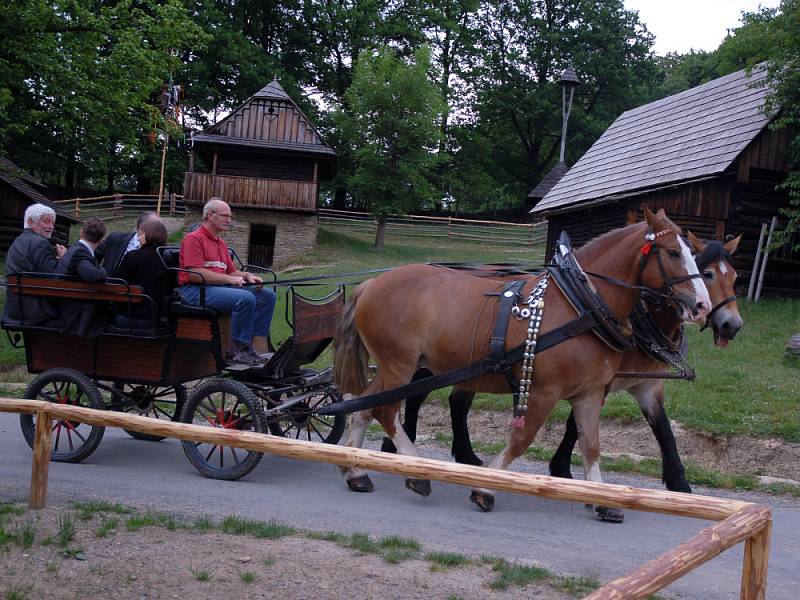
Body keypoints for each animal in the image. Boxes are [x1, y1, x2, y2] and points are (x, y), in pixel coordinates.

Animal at [334, 207, 708, 510]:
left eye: (693, 253)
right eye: (673, 252)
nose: (703, 306)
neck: (580, 303)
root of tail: (369, 284)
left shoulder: (589, 393)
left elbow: (591, 445)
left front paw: (602, 500)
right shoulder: (544, 391)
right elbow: (521, 440)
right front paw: (486, 487)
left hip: (394, 367)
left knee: (365, 405)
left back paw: (356, 470)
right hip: (400, 364)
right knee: (384, 410)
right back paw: (416, 472)